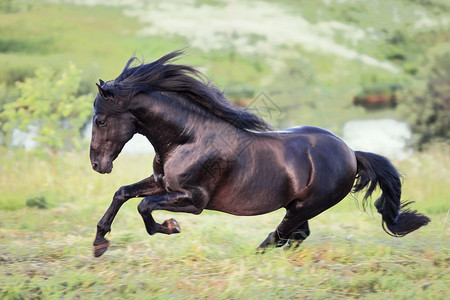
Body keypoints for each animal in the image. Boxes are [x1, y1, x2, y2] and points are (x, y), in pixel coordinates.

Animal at [89, 50, 428, 256]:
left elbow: (144, 206)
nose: (97, 165)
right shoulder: (162, 182)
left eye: (100, 119)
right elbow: (123, 193)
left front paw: (171, 227)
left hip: (304, 207)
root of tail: (352, 153)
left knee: (280, 236)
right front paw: (99, 242)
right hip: (297, 207)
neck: (188, 139)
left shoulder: (195, 200)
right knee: (294, 236)